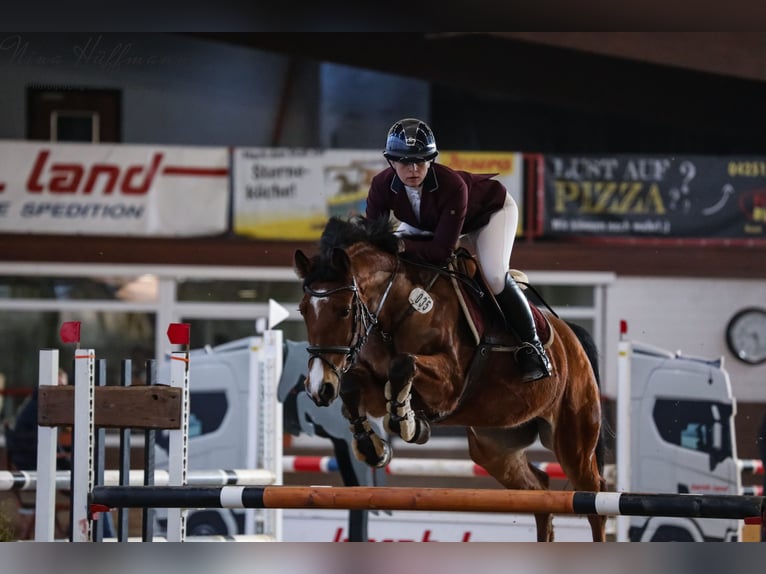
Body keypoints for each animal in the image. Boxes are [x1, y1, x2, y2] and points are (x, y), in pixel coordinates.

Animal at [294, 217, 608, 544]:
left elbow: (402, 364)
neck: (397, 311)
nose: (318, 388)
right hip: (495, 447)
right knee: (539, 492)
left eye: (343, 310)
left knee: (594, 498)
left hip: (573, 442)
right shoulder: (373, 388)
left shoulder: (449, 385)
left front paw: (407, 423)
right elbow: (354, 386)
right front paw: (372, 446)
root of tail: (571, 337)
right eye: (302, 310)